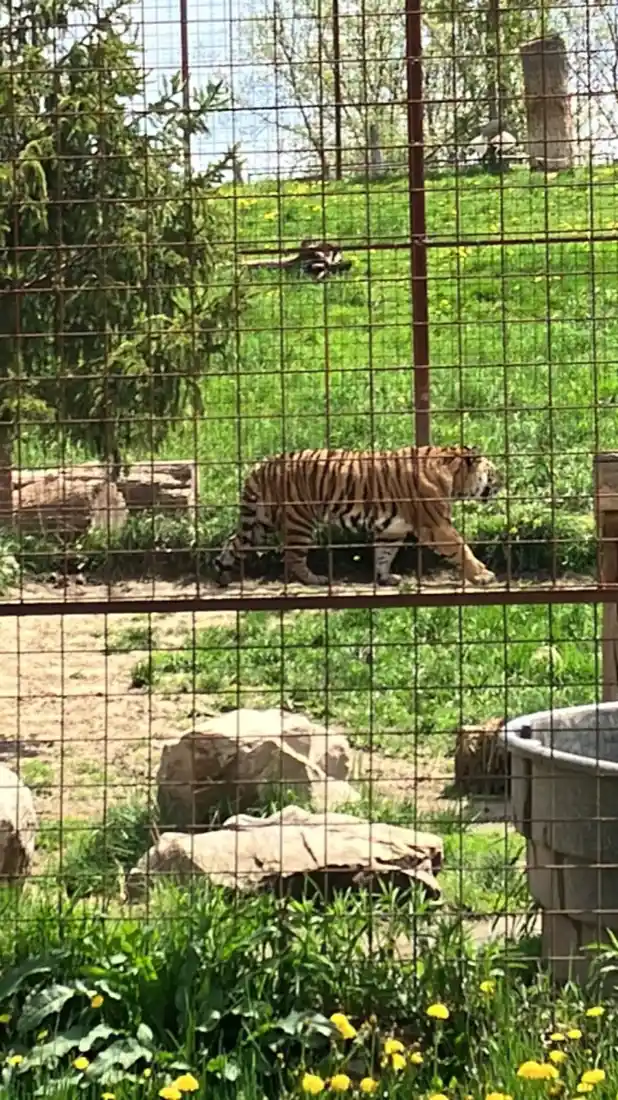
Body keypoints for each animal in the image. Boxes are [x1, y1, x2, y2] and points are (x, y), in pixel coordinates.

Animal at [214, 444, 501, 588]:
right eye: (494, 472)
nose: (503, 481)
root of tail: (260, 467)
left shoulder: (392, 529)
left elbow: (385, 554)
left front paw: (385, 578)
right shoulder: (437, 525)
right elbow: (461, 548)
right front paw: (482, 575)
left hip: (260, 522)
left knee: (233, 543)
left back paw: (222, 574)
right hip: (299, 521)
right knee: (293, 557)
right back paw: (315, 580)